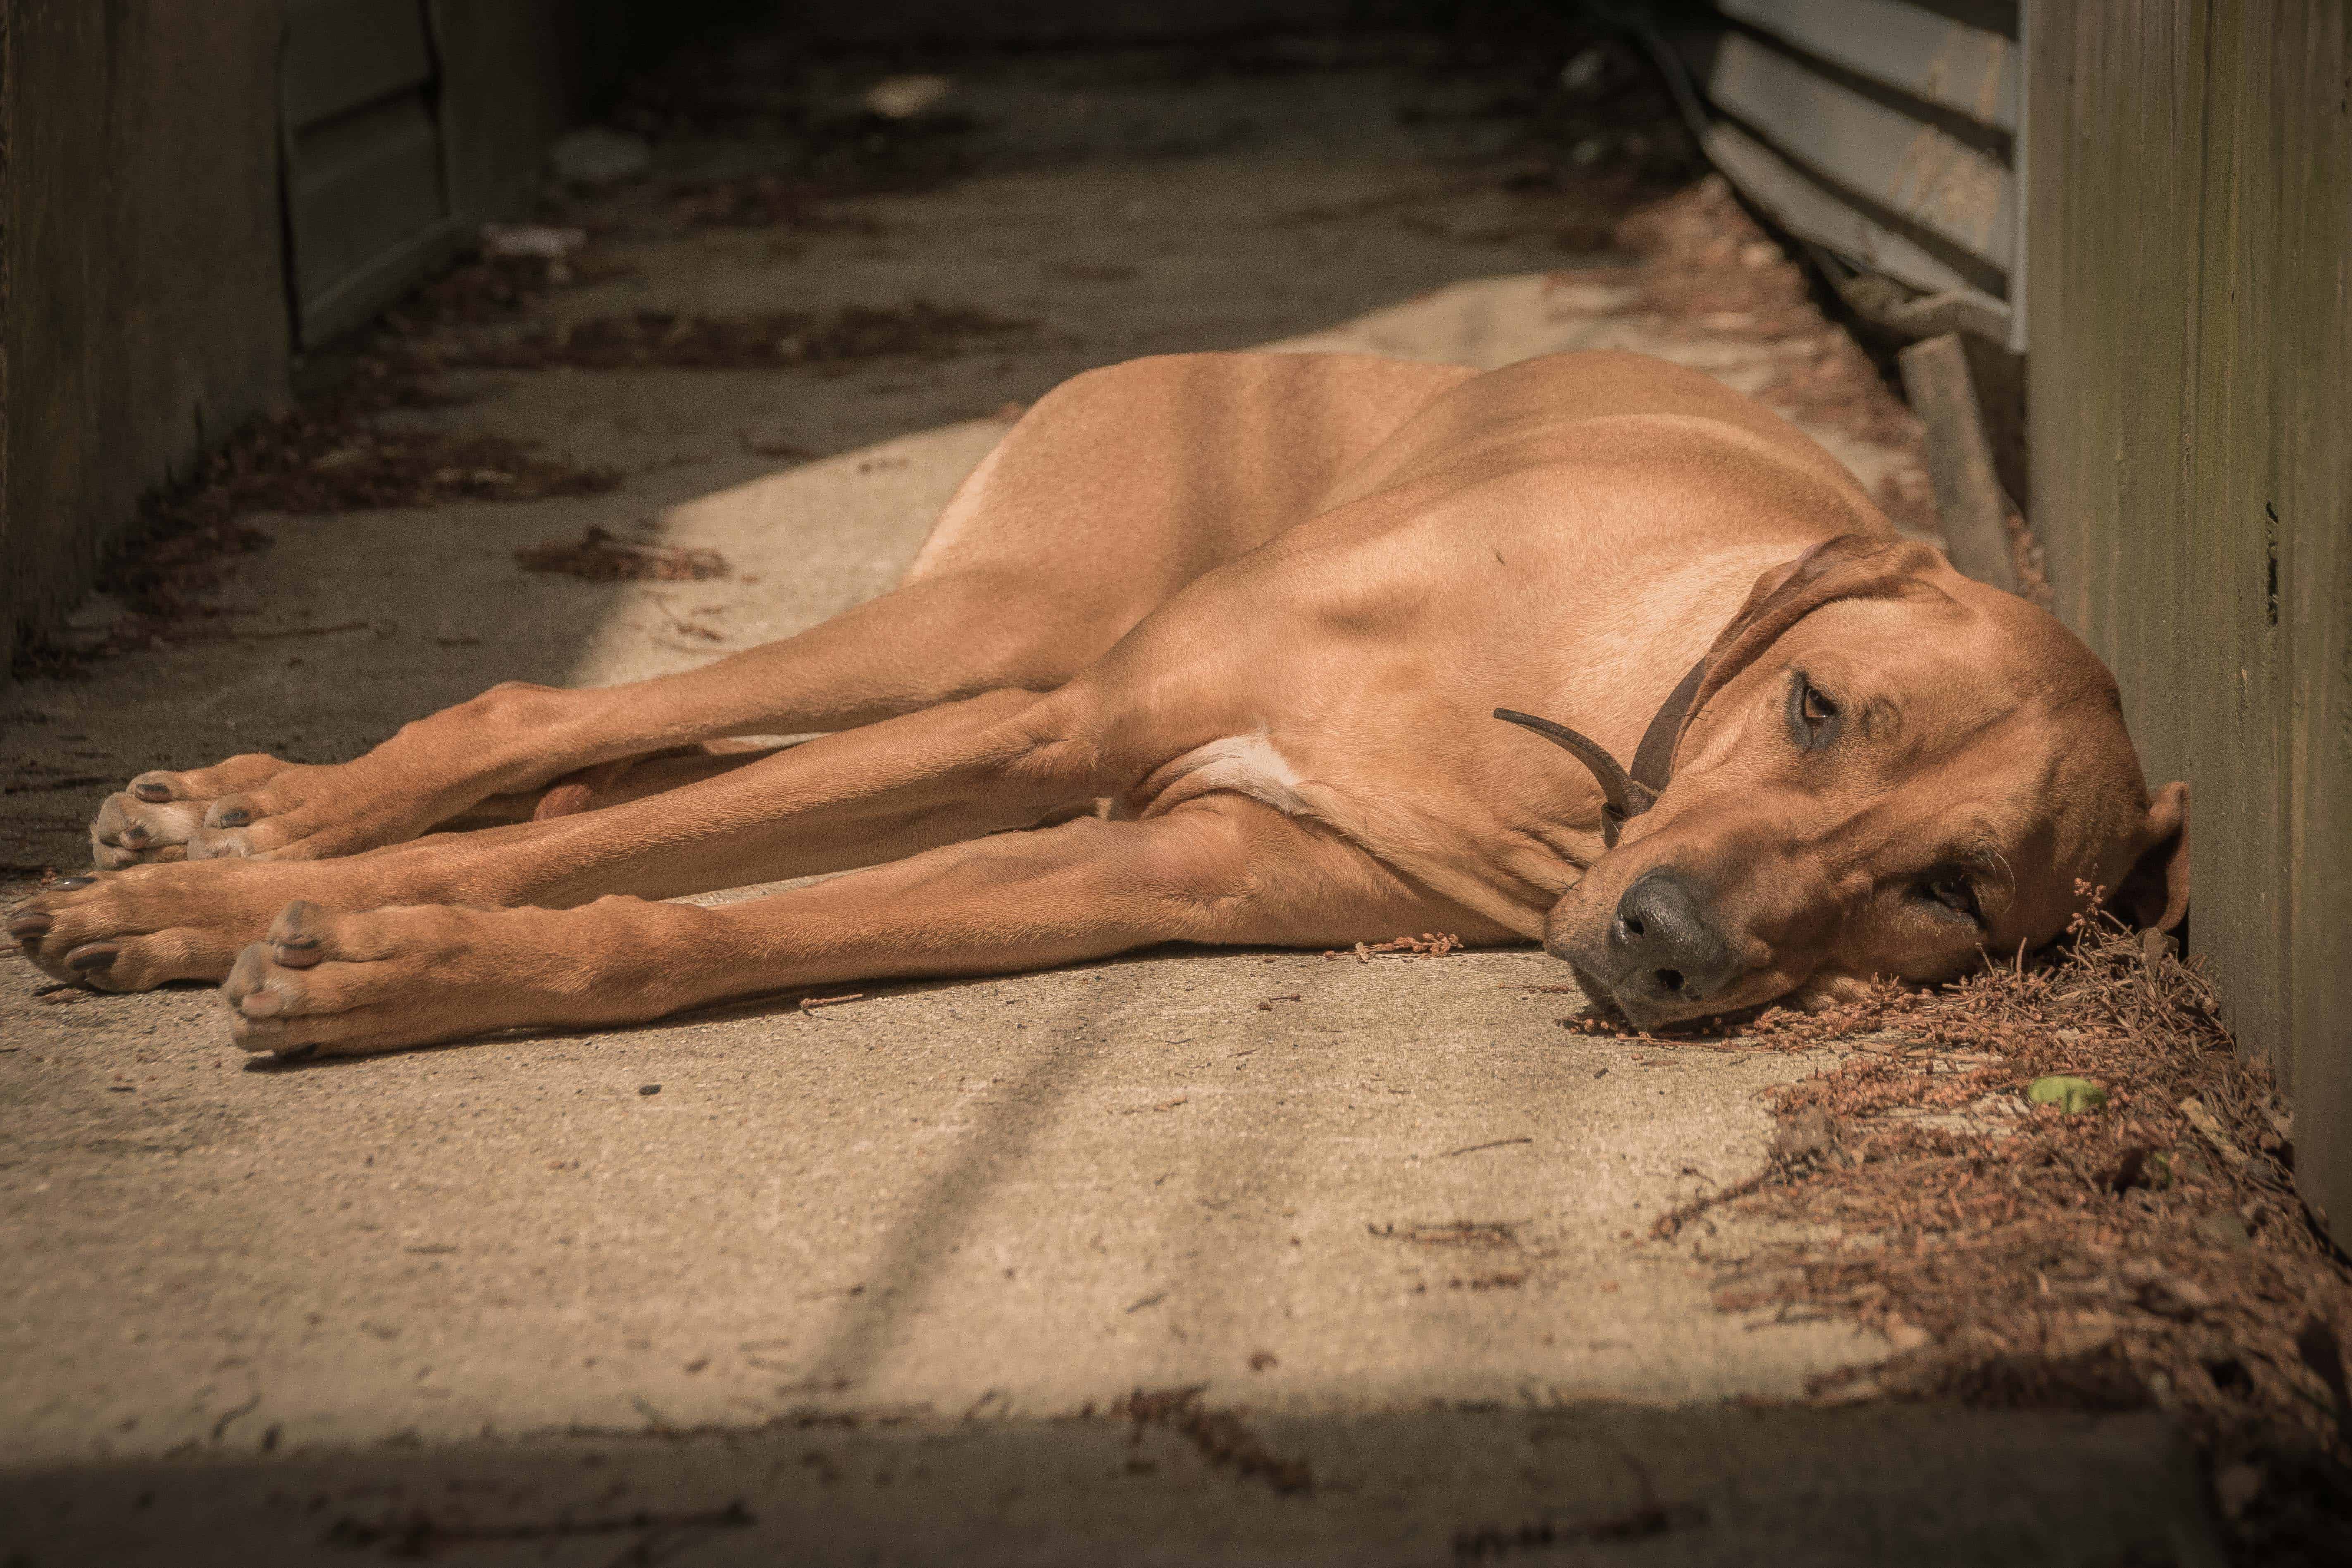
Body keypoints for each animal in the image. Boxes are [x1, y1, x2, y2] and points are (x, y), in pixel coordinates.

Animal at [14, 350, 2183, 1063]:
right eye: (1818, 708)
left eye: (1950, 899)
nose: (1664, 948)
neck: (1570, 718)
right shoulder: (1078, 733)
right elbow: (648, 834)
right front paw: (190, 917)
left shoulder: (1160, 864)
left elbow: (682, 916)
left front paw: (391, 963)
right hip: (1006, 629)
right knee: (534, 718)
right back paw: (240, 817)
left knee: (634, 774)